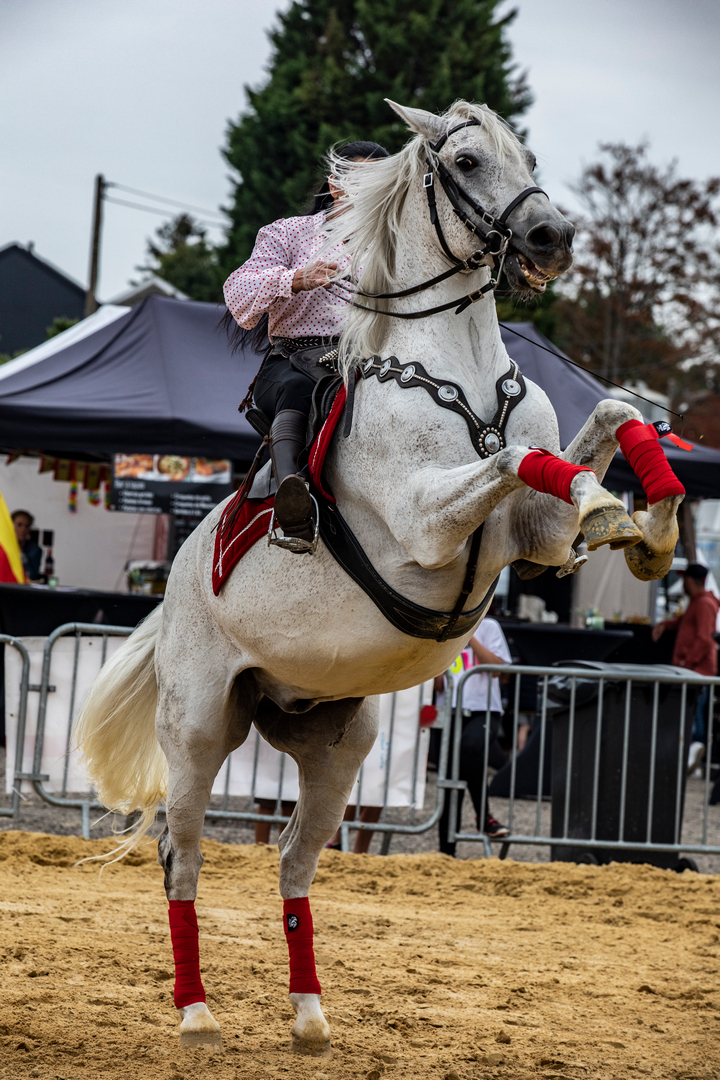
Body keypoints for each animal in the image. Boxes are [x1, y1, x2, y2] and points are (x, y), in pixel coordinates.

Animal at [75, 98, 683, 1056]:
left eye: (528, 156)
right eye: (466, 161)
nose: (550, 238)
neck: (458, 376)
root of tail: (172, 586)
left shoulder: (533, 541)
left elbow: (609, 418)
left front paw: (650, 520)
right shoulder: (427, 528)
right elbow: (515, 457)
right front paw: (614, 510)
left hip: (339, 746)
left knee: (293, 858)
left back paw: (309, 1013)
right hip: (199, 729)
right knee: (184, 855)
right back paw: (197, 1011)